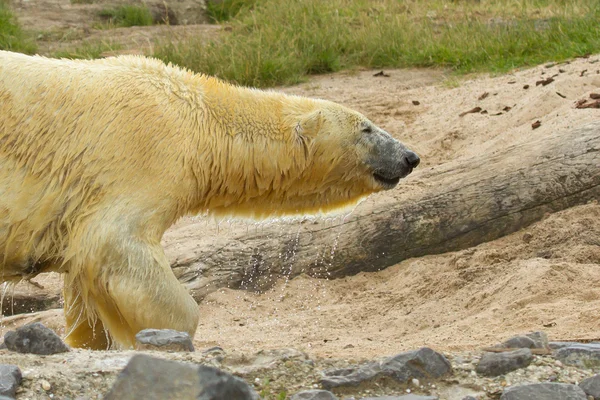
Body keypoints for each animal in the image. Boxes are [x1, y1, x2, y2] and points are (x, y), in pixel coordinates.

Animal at [0, 51, 418, 348]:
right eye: (366, 128)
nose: (410, 156)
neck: (198, 120)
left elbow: (83, 289)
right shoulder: (142, 157)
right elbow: (115, 246)